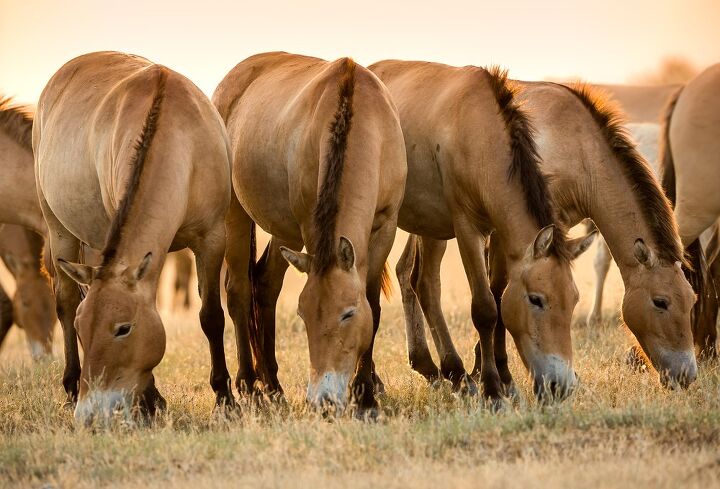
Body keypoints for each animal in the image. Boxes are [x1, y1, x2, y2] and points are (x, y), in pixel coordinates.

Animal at [34, 50, 233, 424]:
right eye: (82, 329)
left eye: (123, 328)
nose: (90, 414)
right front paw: (151, 400)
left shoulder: (212, 238)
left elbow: (212, 316)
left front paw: (225, 399)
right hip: (59, 229)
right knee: (65, 300)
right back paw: (71, 386)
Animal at [212, 52, 404, 412]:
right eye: (303, 315)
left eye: (348, 314)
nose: (322, 400)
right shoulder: (310, 226)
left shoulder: (386, 225)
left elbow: (372, 302)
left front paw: (365, 391)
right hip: (236, 214)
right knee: (239, 289)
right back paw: (251, 385)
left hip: (283, 231)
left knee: (264, 283)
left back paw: (273, 386)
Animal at [372, 60, 596, 400]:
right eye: (536, 299)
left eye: (574, 299)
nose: (561, 386)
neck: (480, 136)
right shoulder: (467, 228)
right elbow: (485, 308)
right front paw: (492, 389)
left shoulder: (500, 233)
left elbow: (499, 297)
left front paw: (505, 382)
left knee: (422, 284)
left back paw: (450, 373)